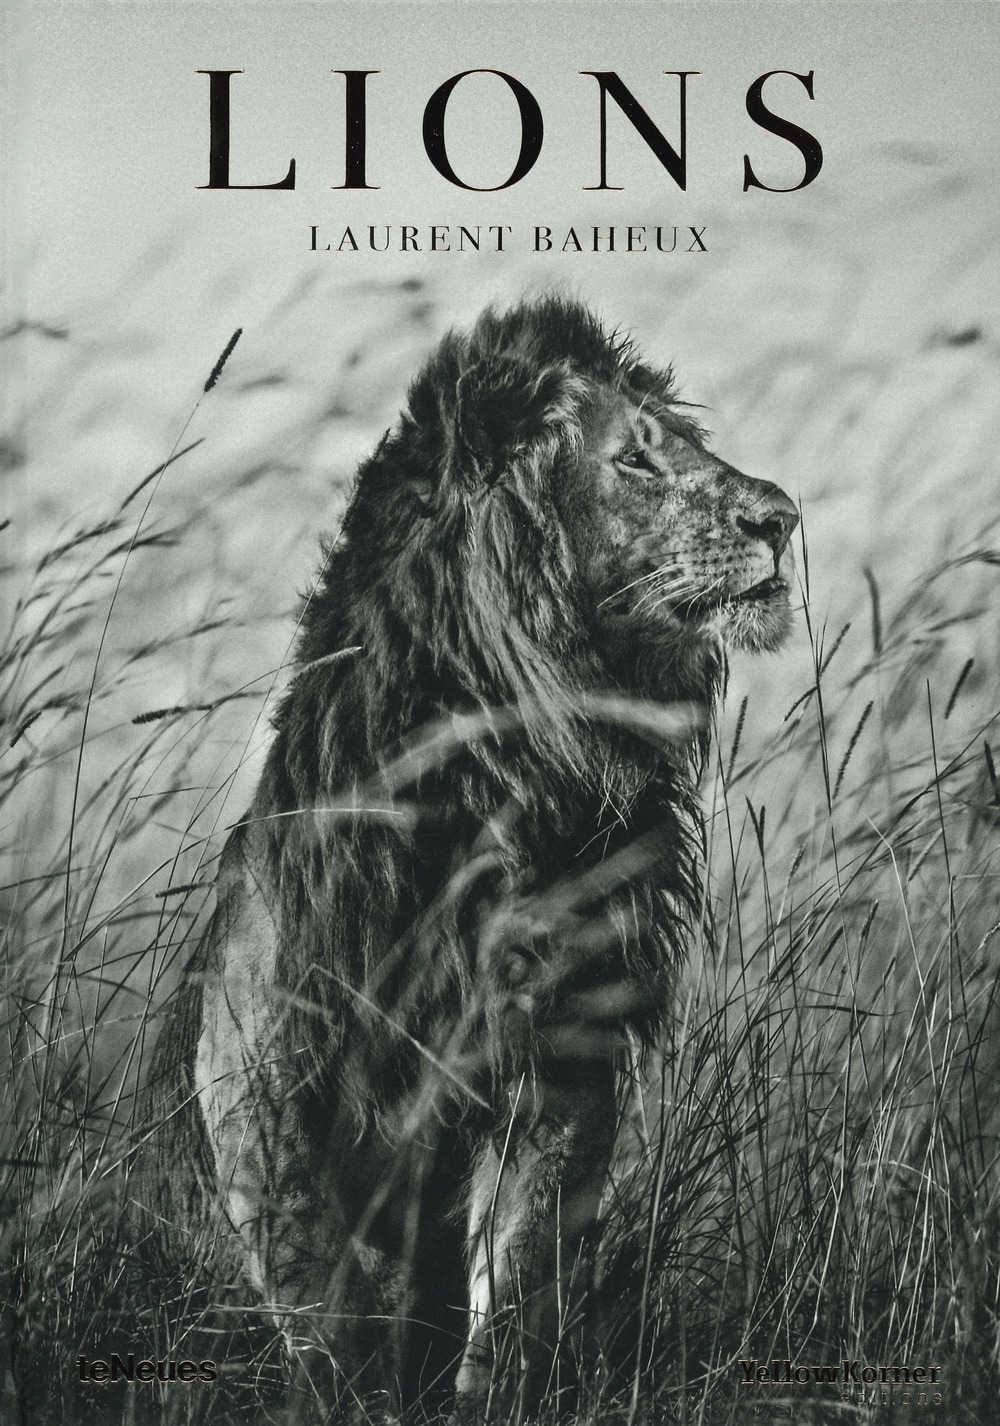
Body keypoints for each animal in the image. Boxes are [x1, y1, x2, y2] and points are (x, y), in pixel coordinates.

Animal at [136, 296, 798, 1422]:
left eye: (687, 442)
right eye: (634, 457)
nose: (783, 518)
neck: (512, 777)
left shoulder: (562, 1051)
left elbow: (520, 1264)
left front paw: (494, 1394)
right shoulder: (261, 1062)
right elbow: (323, 1285)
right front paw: (349, 1395)